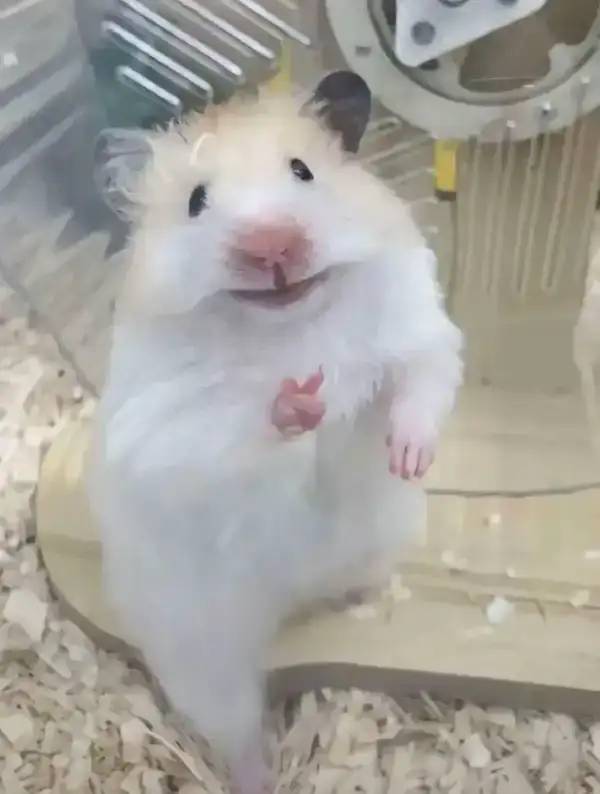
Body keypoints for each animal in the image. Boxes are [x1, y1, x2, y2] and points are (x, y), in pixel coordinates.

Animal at [87, 71, 463, 794]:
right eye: (197, 202)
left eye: (302, 171)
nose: (271, 245)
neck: (288, 323)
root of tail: (294, 602)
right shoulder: (165, 428)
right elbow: (237, 431)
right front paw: (301, 402)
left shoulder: (416, 321)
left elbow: (421, 380)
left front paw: (407, 457)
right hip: (203, 655)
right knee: (233, 728)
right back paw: (259, 774)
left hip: (377, 543)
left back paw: (362, 595)